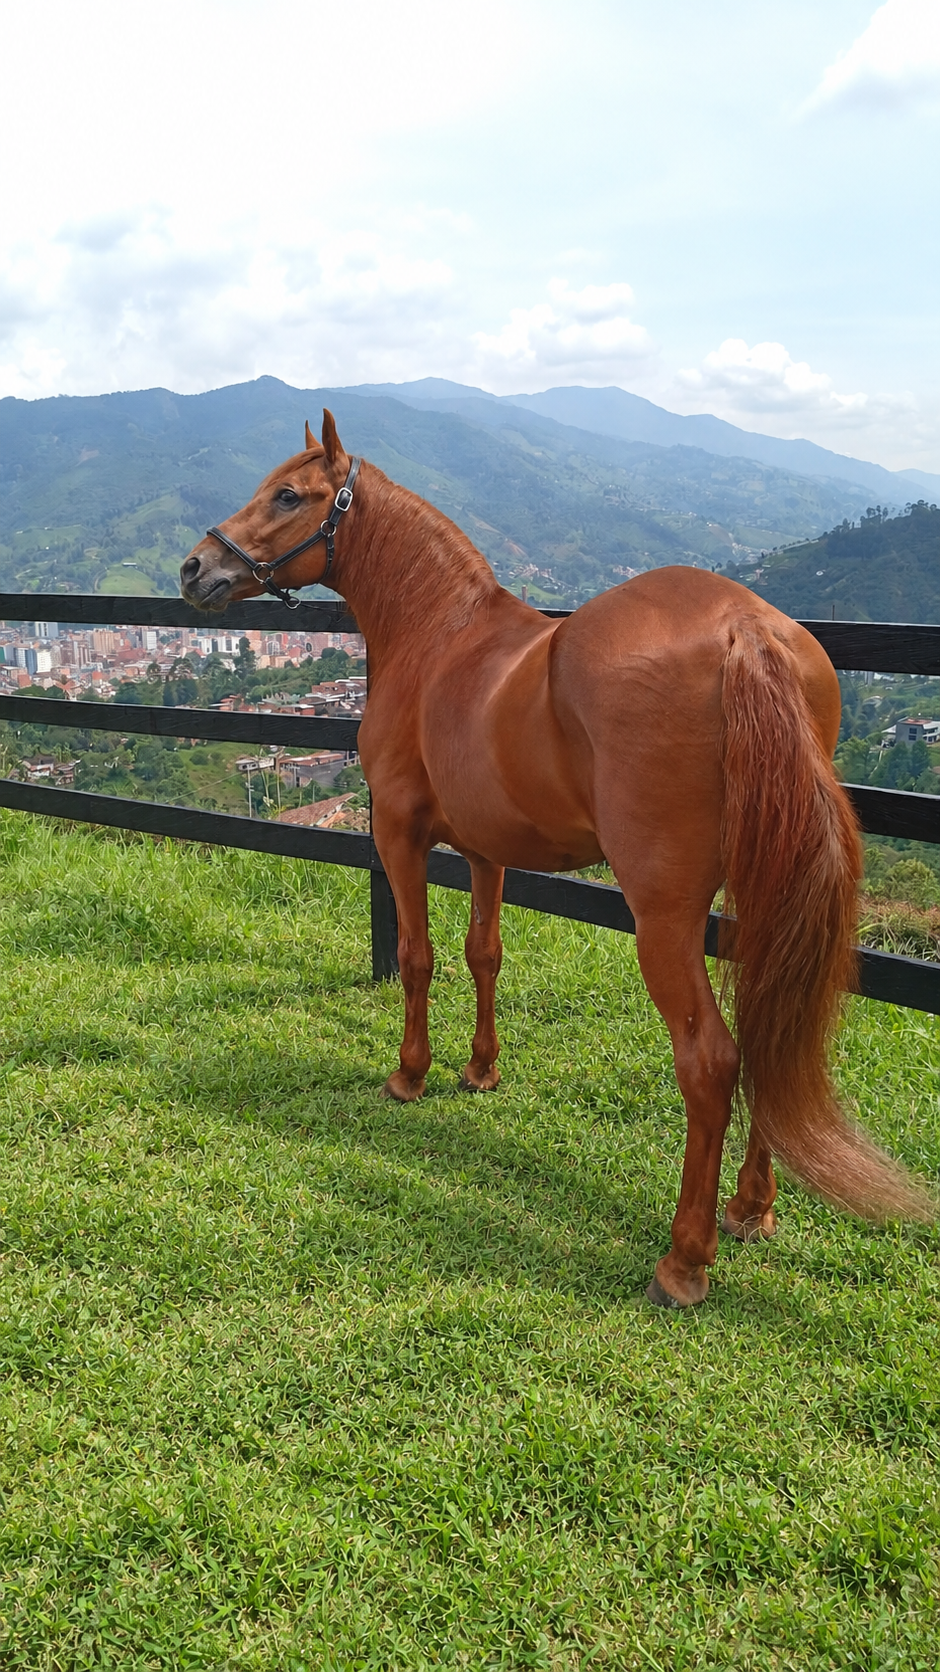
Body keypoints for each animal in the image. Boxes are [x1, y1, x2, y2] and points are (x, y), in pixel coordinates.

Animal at [180, 411, 929, 1306]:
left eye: (290, 495)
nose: (196, 567)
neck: (441, 638)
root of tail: (745, 632)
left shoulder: (398, 834)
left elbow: (418, 956)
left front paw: (410, 1075)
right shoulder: (486, 850)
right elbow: (485, 954)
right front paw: (480, 1069)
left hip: (664, 917)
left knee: (711, 1061)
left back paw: (684, 1259)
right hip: (761, 893)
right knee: (765, 1029)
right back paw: (751, 1208)